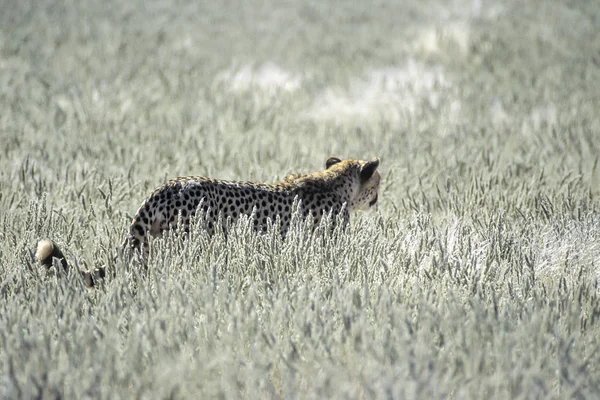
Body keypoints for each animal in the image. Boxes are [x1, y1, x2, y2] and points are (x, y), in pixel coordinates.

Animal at [37, 155, 380, 282]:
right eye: (378, 182)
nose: (379, 199)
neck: (334, 182)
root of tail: (168, 185)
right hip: (189, 240)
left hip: (150, 242)